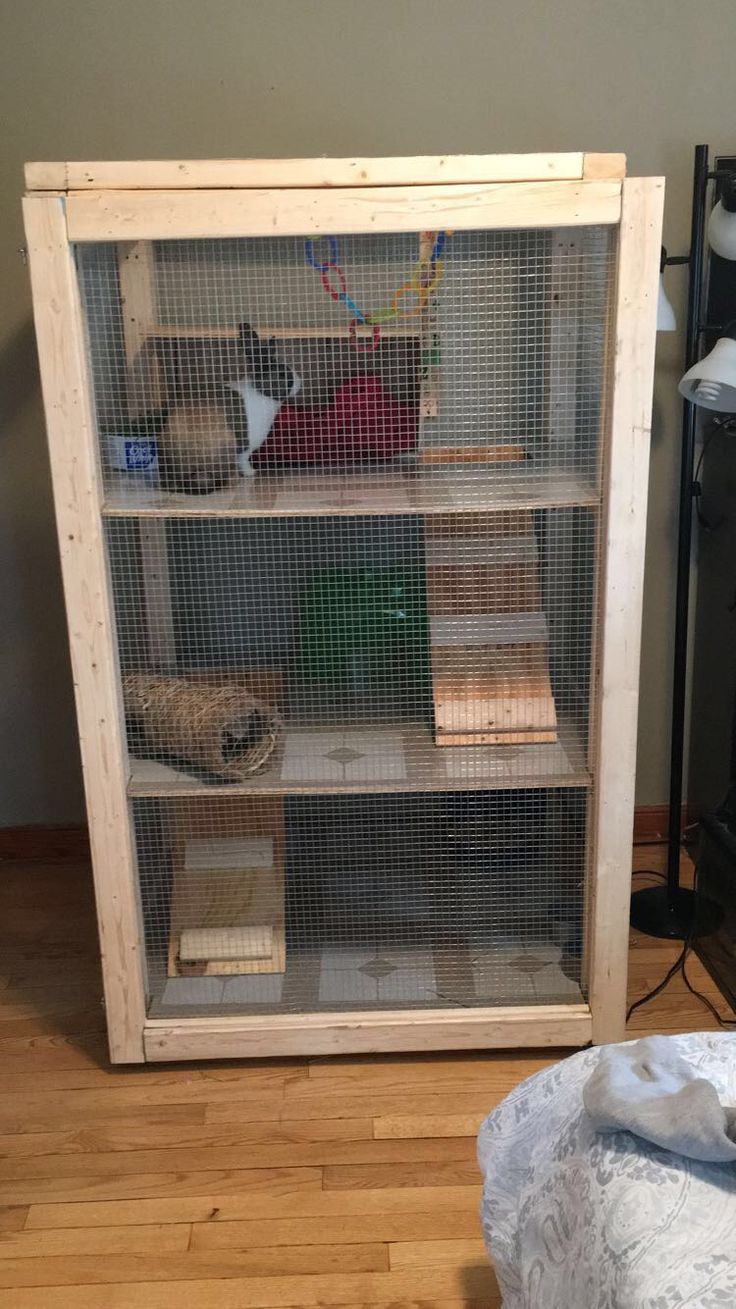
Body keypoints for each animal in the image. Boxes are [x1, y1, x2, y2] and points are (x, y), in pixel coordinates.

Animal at [157, 323, 301, 494]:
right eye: (281, 373)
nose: (299, 382)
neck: (259, 392)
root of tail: (194, 476)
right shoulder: (245, 447)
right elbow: (243, 460)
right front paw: (251, 473)